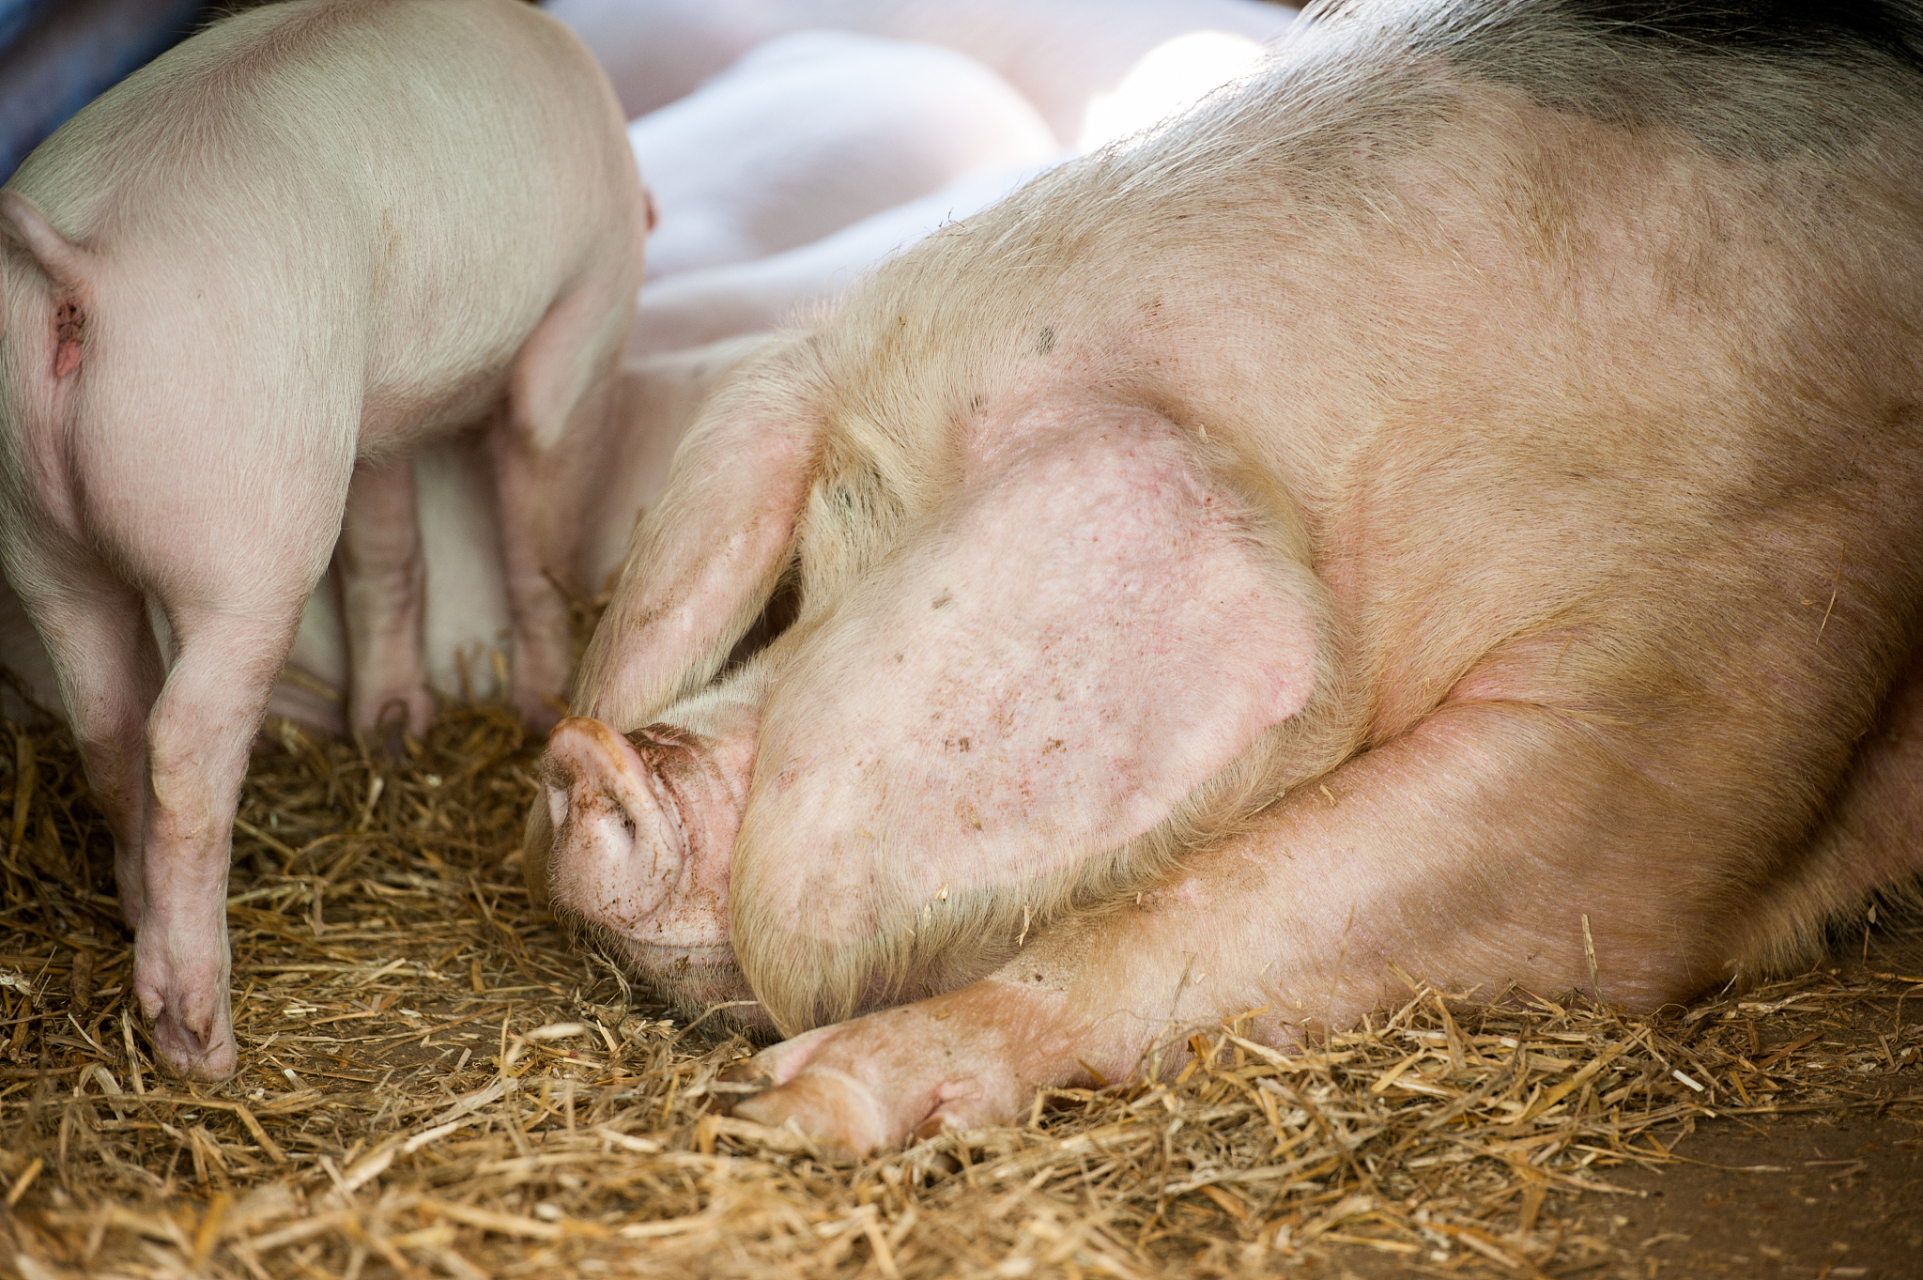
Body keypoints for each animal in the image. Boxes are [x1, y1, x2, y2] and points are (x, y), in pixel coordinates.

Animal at [0, 0, 646, 1076]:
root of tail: (78, 272)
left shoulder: (373, 418)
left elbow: (389, 548)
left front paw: (396, 728)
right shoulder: (582, 314)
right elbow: (536, 517)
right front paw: (543, 703)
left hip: (42, 537)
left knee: (105, 719)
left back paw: (140, 911)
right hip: (246, 526)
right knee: (184, 741)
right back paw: (199, 1041)